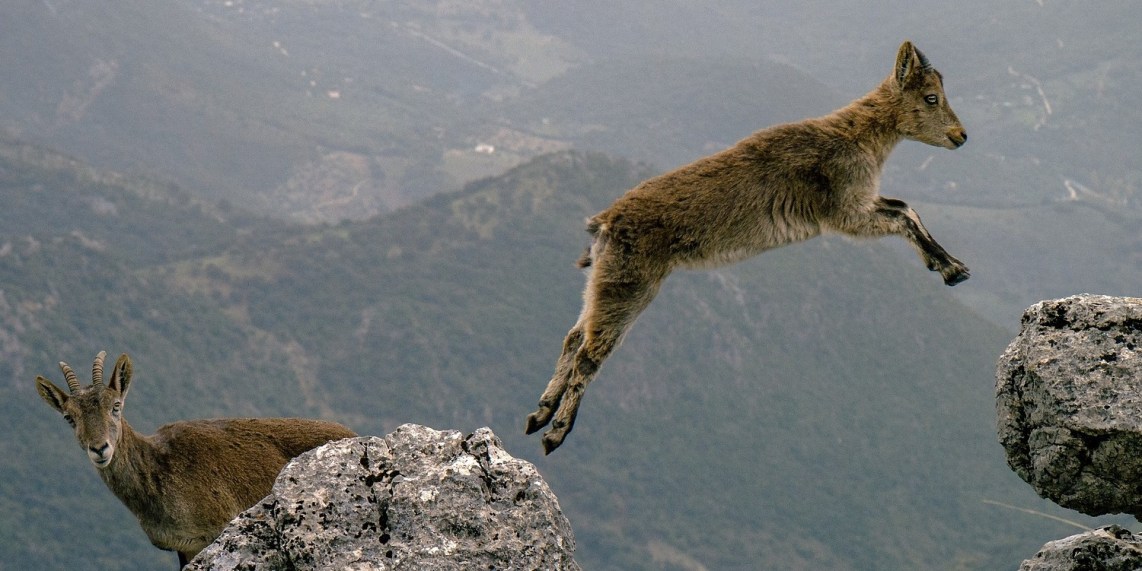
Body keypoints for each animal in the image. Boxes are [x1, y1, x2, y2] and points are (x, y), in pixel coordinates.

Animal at [35, 351, 357, 568]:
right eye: (69, 418)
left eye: (116, 406)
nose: (100, 448)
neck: (158, 470)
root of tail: (353, 434)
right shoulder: (184, 547)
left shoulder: (216, 530)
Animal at [525, 41, 970, 454]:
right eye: (931, 97)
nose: (961, 136)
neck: (859, 135)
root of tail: (605, 223)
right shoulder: (846, 213)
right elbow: (902, 216)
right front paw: (950, 268)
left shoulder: (862, 204)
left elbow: (906, 208)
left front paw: (953, 267)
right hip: (630, 285)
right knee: (589, 352)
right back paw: (555, 432)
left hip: (603, 281)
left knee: (573, 336)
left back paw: (539, 412)